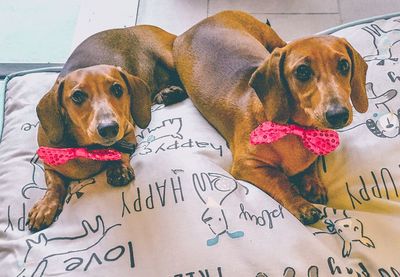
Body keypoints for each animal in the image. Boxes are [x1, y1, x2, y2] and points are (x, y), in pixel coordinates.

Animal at [28, 24, 188, 231]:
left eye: (117, 89)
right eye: (77, 96)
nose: (109, 128)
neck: (88, 148)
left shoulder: (127, 130)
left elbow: (121, 149)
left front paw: (118, 168)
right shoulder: (49, 164)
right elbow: (55, 184)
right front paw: (45, 206)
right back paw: (167, 93)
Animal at [173, 10, 368, 224]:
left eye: (344, 65)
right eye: (302, 71)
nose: (338, 115)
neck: (297, 129)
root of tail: (201, 22)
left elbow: (310, 165)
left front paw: (312, 184)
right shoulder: (247, 165)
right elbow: (280, 179)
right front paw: (301, 205)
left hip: (274, 41)